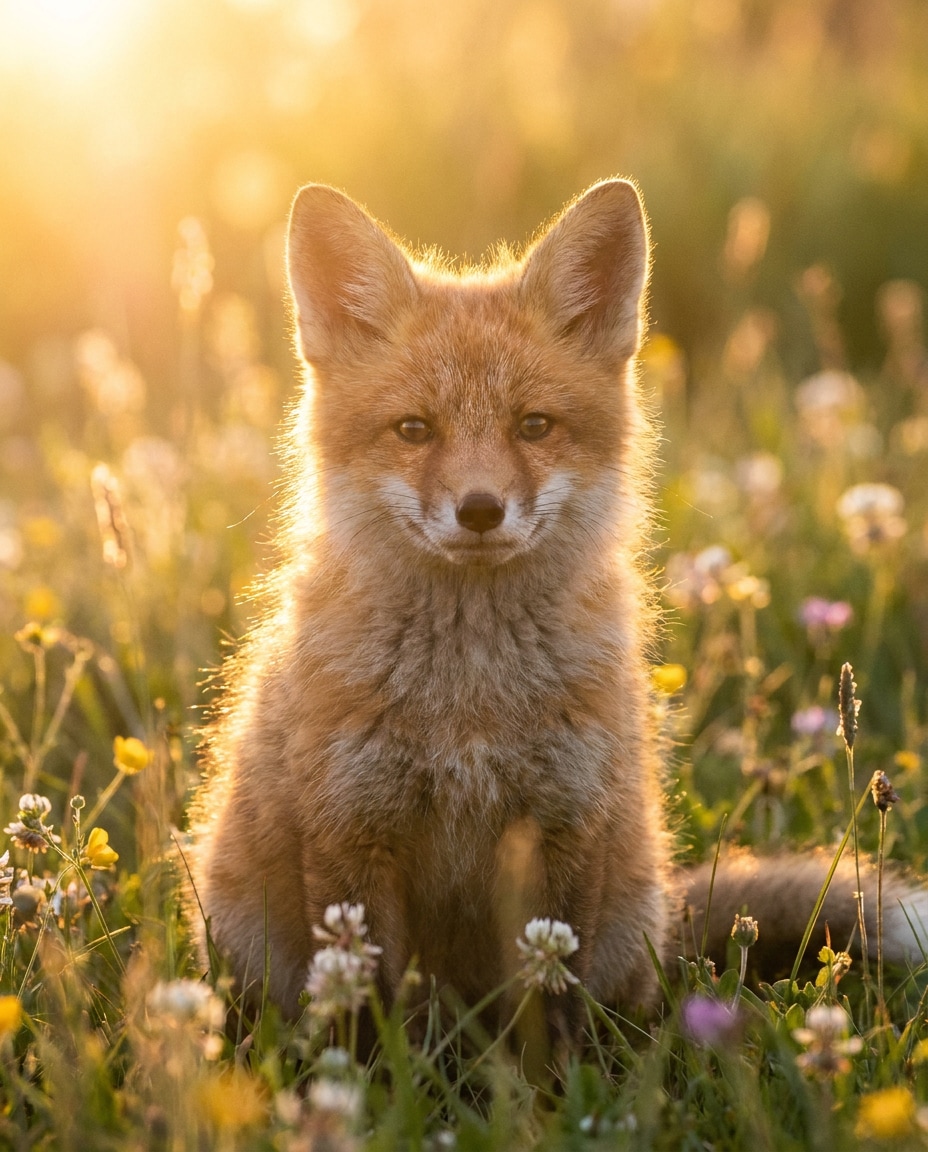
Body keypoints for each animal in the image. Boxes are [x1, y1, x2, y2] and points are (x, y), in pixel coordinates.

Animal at [190, 179, 928, 1029]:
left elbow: (551, 1011)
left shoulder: (565, 825)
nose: (480, 510)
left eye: (534, 425)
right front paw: (372, 1068)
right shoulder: (351, 834)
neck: (469, 702)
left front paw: (553, 1072)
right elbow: (368, 1021)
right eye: (414, 429)